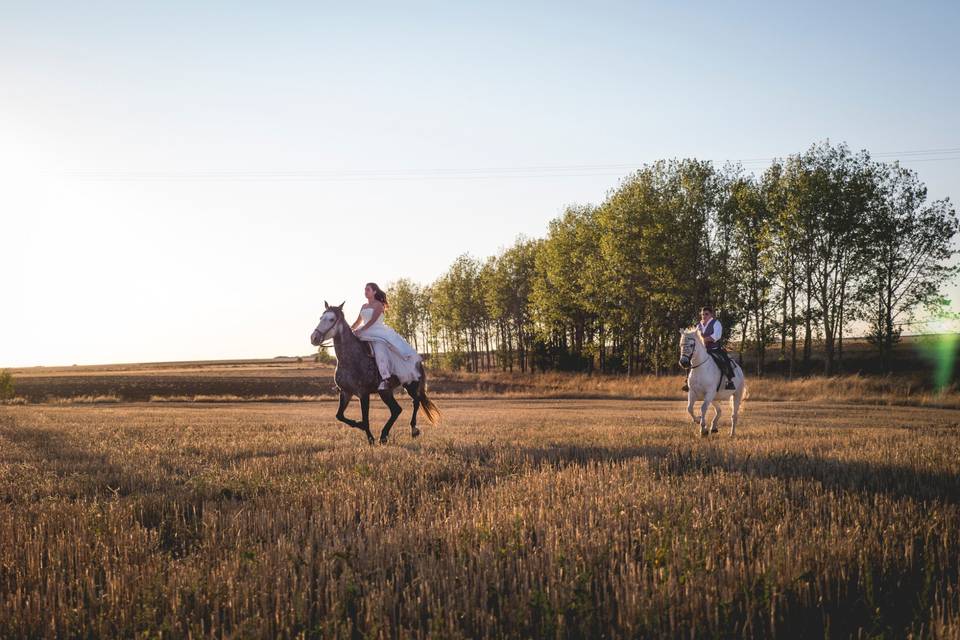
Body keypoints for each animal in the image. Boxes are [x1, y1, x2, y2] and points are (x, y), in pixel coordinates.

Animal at [310, 302, 440, 444]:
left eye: (331, 319)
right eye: (321, 318)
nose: (314, 338)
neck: (351, 358)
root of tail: (418, 359)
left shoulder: (363, 394)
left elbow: (365, 419)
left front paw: (370, 438)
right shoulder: (346, 392)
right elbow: (339, 416)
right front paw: (361, 426)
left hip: (410, 385)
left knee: (415, 402)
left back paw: (413, 429)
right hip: (385, 391)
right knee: (397, 409)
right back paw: (384, 436)